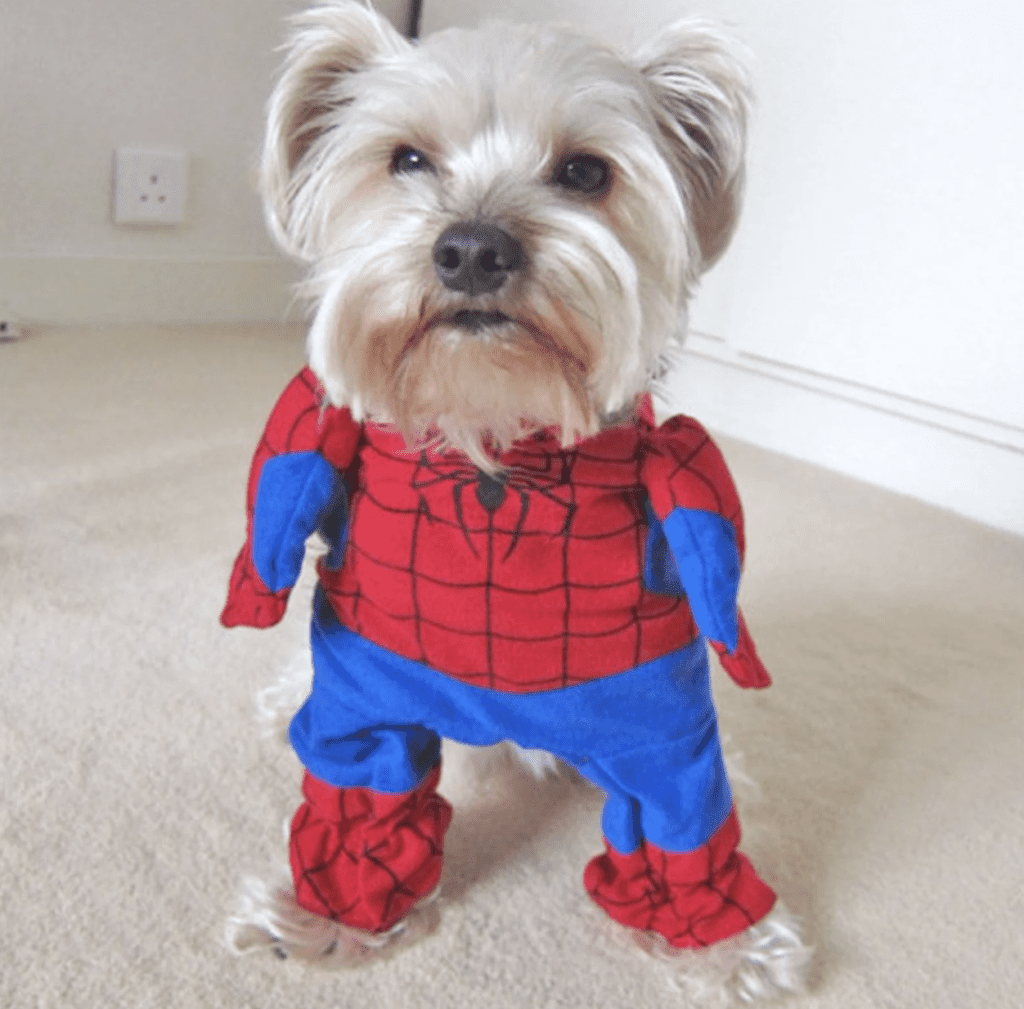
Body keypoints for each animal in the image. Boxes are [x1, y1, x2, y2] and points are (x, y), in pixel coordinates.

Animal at [222, 3, 806, 999]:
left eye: (586, 173)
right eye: (407, 159)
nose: (472, 248)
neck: (494, 442)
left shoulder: (656, 712)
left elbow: (686, 826)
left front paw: (730, 943)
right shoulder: (368, 690)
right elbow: (358, 796)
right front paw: (326, 917)